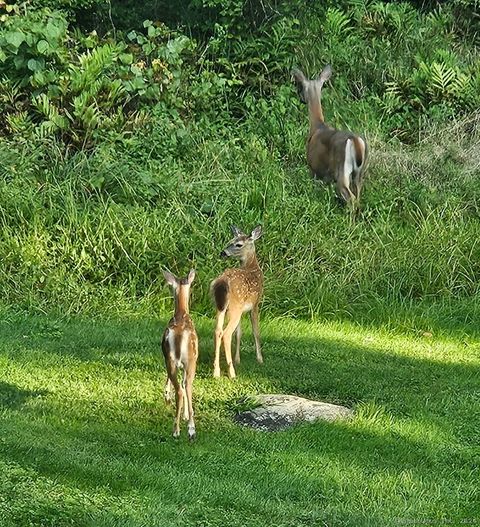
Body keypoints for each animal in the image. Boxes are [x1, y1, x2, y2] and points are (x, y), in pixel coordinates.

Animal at [210, 226, 262, 380]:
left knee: (218, 331)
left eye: (238, 244)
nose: (223, 252)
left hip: (221, 306)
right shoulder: (255, 304)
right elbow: (256, 331)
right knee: (226, 334)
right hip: (234, 307)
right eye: (230, 241)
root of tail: (222, 281)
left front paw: (237, 359)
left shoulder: (243, 310)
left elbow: (239, 333)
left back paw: (216, 371)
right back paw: (231, 372)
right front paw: (260, 359)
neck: (253, 268)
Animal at [292, 64, 368, 208]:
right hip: (359, 173)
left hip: (342, 169)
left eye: (301, 87)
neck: (317, 126)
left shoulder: (313, 168)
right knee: (358, 195)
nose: (301, 98)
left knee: (350, 197)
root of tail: (355, 140)